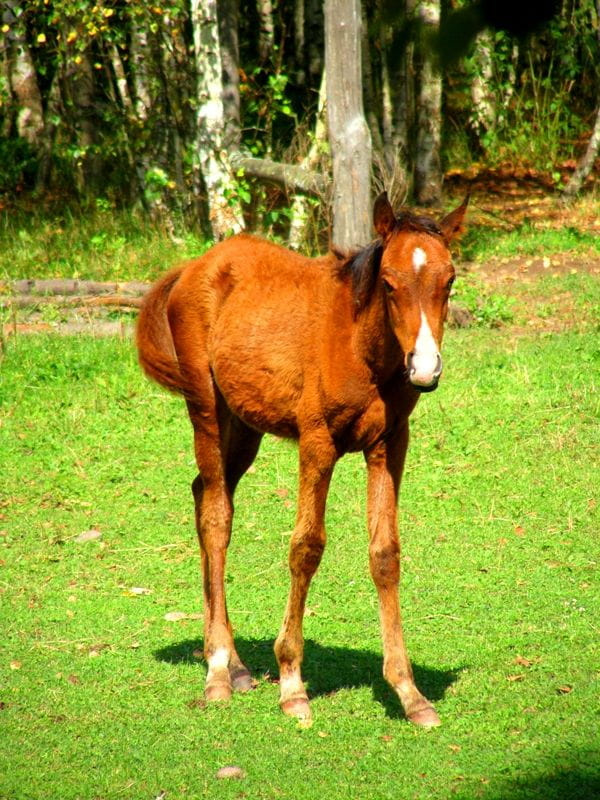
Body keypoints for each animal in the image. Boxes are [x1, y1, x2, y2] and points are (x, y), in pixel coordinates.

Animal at [137, 191, 468, 728]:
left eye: (450, 280)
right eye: (389, 283)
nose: (424, 368)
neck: (358, 348)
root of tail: (194, 266)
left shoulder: (389, 445)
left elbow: (385, 554)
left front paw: (409, 691)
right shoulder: (318, 444)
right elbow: (306, 548)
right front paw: (292, 684)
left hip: (243, 426)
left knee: (204, 494)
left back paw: (234, 663)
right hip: (205, 409)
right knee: (216, 517)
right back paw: (217, 671)